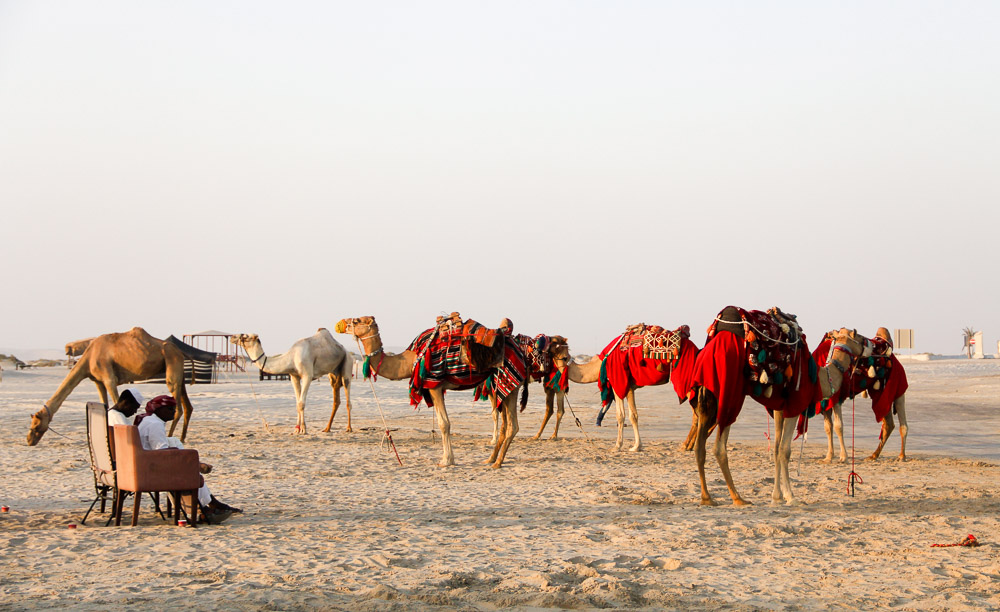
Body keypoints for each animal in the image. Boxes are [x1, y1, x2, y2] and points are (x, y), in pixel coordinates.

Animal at [28, 328, 197, 448]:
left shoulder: (109, 378)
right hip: (179, 372)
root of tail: (181, 351)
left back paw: (170, 436)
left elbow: (116, 402)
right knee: (188, 406)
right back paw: (182, 438)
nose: (29, 440)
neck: (88, 357)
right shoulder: (98, 381)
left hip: (171, 366)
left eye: (36, 423)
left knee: (178, 407)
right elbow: (105, 405)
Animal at [334, 316, 524, 468]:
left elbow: (444, 423)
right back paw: (491, 459)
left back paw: (497, 463)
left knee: (512, 425)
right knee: (508, 424)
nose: (339, 324)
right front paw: (448, 458)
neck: (410, 359)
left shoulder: (434, 384)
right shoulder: (438, 387)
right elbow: (444, 422)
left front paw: (446, 461)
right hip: (500, 386)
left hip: (508, 381)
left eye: (357, 321)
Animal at [692, 308, 872, 510]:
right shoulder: (795, 404)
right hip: (731, 394)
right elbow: (785, 450)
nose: (872, 345)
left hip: (708, 399)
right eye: (859, 336)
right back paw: (738, 498)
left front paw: (777, 496)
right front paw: (791, 497)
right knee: (719, 447)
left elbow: (777, 449)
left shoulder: (778, 408)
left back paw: (707, 497)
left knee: (700, 447)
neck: (818, 378)